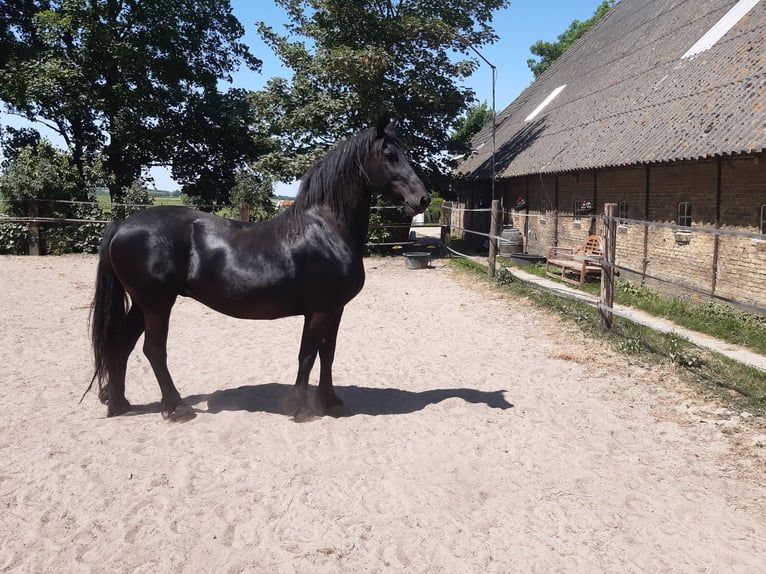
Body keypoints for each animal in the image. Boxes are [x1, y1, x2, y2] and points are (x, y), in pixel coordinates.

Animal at [87, 117, 430, 422]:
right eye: (389, 155)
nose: (423, 198)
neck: (326, 228)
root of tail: (122, 225)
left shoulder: (335, 309)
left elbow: (327, 355)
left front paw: (331, 403)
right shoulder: (319, 311)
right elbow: (308, 355)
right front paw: (301, 409)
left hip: (142, 305)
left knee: (121, 347)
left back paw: (119, 404)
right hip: (157, 304)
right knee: (154, 350)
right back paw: (176, 408)